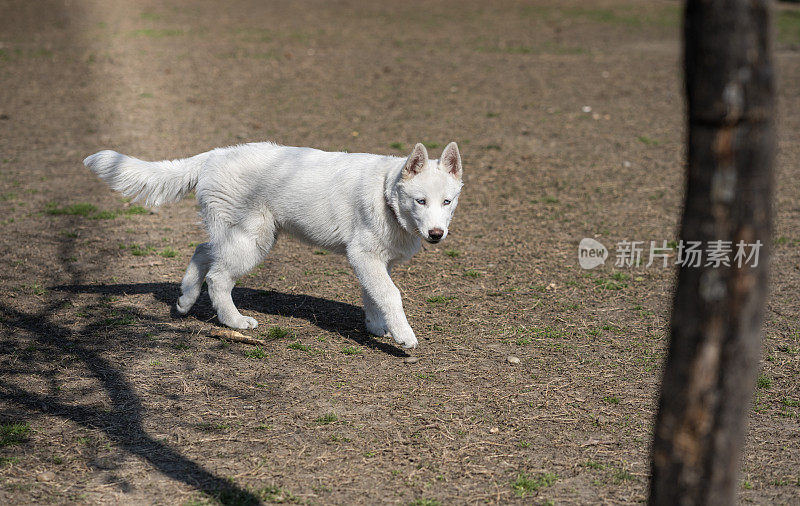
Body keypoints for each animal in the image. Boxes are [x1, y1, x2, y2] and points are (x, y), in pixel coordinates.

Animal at [83, 142, 462, 348]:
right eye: (420, 201)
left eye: (447, 202)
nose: (436, 234)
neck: (386, 193)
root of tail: (214, 155)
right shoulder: (364, 256)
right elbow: (390, 294)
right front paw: (403, 336)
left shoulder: (374, 262)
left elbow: (373, 296)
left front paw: (377, 328)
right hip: (252, 240)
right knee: (217, 278)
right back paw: (234, 322)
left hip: (240, 236)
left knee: (203, 252)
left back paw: (185, 301)